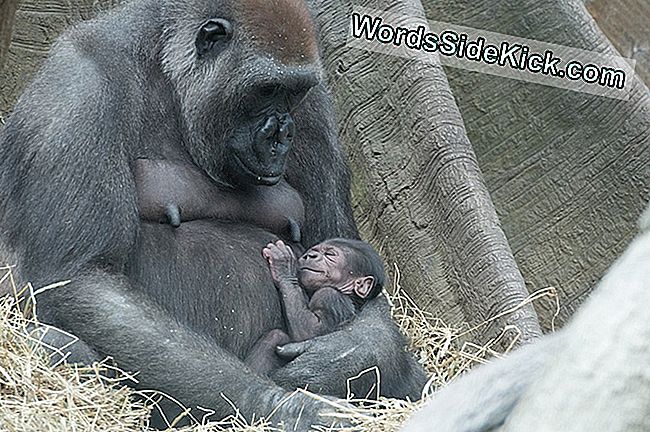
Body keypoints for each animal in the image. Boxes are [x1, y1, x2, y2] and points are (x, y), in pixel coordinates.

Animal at [243, 236, 384, 374]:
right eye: (313, 250)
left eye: (330, 254)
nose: (310, 255)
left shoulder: (327, 296)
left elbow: (308, 332)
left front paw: (284, 267)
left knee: (276, 336)